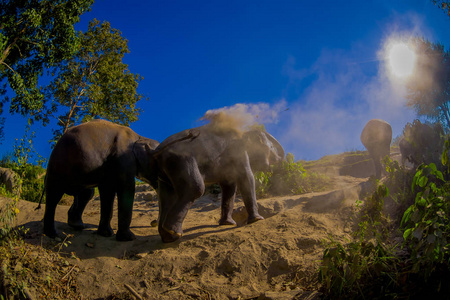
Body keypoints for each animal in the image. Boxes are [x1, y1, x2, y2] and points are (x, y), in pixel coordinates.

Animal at [41, 119, 195, 241]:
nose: (152, 223)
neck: (139, 137)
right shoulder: (123, 159)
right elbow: (127, 189)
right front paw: (128, 238)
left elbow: (107, 192)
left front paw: (106, 234)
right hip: (57, 166)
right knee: (54, 196)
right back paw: (53, 235)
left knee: (87, 193)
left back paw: (77, 225)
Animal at [153, 123, 284, 243]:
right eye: (271, 146)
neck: (245, 133)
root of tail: (158, 151)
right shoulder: (239, 154)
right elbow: (247, 178)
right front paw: (258, 219)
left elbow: (229, 186)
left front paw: (228, 223)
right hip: (181, 160)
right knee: (196, 188)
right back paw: (174, 232)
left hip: (166, 171)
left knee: (166, 197)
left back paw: (169, 238)